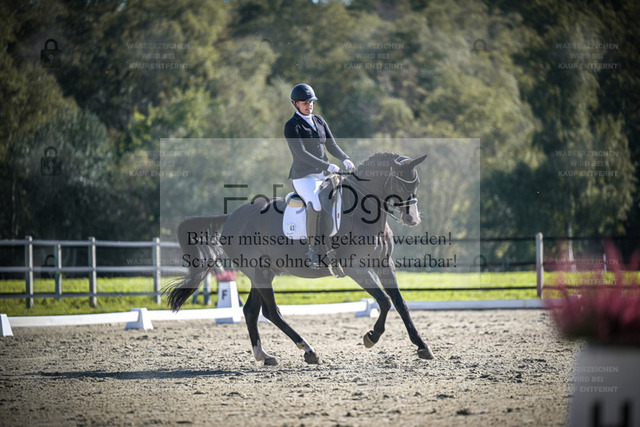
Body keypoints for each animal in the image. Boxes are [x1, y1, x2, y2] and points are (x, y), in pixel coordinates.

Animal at [165, 151, 434, 365]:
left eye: (417, 182)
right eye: (400, 183)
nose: (413, 219)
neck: (361, 214)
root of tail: (231, 216)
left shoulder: (384, 265)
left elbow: (400, 303)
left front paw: (422, 347)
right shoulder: (355, 268)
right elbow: (385, 301)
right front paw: (371, 337)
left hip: (263, 272)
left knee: (251, 311)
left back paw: (265, 356)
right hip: (259, 272)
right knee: (271, 312)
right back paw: (309, 351)